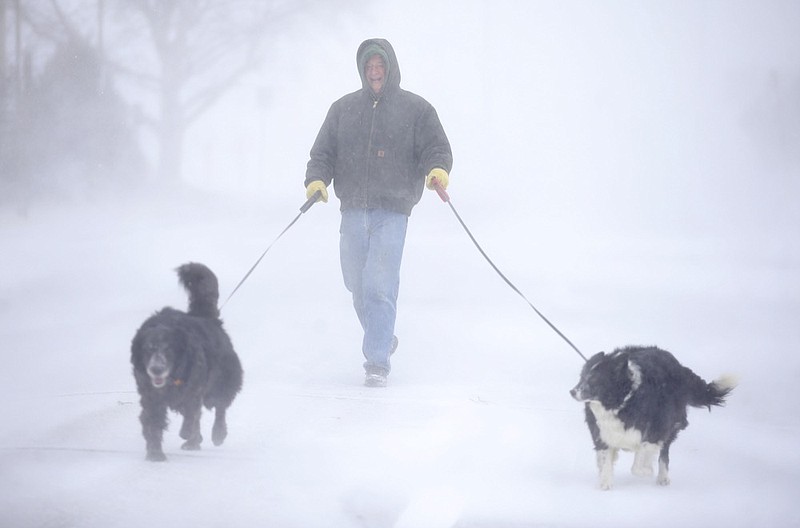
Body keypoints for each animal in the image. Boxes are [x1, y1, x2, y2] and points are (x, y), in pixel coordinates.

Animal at [130, 264, 244, 462]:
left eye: (168, 349)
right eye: (147, 350)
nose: (156, 369)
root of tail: (206, 318)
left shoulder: (194, 389)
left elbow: (192, 415)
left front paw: (188, 435)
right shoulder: (150, 395)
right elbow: (153, 421)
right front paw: (155, 453)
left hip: (221, 381)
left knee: (219, 406)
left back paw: (217, 434)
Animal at [568, 346, 736, 490]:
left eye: (594, 380)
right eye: (582, 377)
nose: (572, 392)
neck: (622, 402)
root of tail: (678, 366)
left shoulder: (657, 429)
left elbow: (640, 457)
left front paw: (646, 471)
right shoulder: (602, 433)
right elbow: (605, 458)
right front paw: (604, 483)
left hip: (672, 424)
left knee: (664, 453)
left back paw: (662, 478)